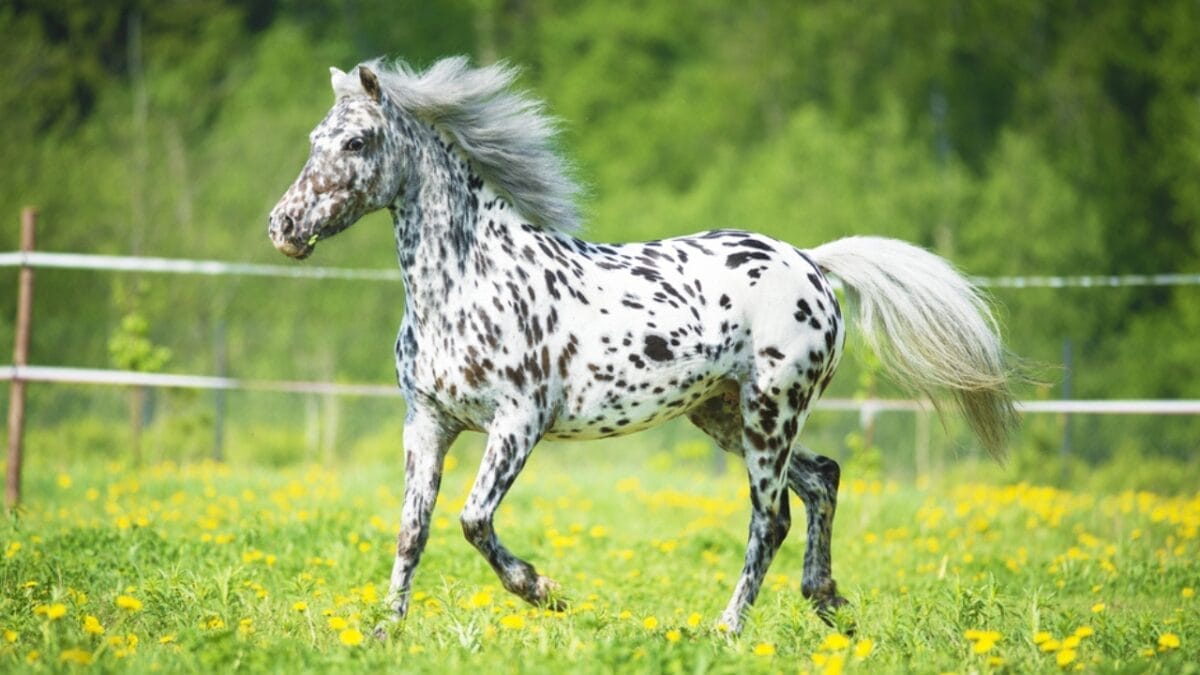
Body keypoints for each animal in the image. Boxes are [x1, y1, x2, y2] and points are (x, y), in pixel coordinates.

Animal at [267, 57, 1017, 636]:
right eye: (313, 138)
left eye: (357, 142)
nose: (284, 226)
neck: (467, 280)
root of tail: (809, 262)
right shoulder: (428, 420)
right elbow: (412, 530)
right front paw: (385, 630)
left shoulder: (518, 421)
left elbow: (473, 519)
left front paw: (545, 591)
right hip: (723, 414)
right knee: (822, 478)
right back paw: (828, 602)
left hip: (771, 413)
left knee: (770, 517)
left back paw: (728, 628)